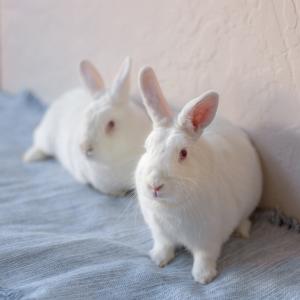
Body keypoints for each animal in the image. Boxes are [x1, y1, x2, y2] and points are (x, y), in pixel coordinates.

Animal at [23, 57, 151, 196]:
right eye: (85, 117)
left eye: (111, 124)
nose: (84, 148)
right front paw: (121, 193)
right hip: (46, 138)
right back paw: (28, 157)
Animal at [135, 66, 262, 284]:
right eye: (146, 147)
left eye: (183, 153)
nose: (154, 186)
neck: (170, 205)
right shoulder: (160, 233)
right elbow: (164, 245)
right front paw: (158, 259)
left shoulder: (208, 238)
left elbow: (205, 256)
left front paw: (203, 277)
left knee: (245, 218)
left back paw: (243, 232)